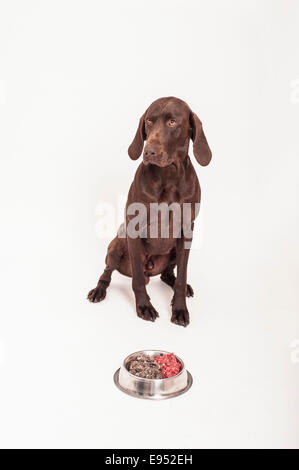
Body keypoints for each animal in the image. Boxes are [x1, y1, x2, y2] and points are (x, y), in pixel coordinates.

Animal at [88, 97, 212, 324]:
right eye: (149, 121)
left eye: (172, 122)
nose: (149, 151)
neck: (169, 176)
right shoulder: (134, 229)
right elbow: (137, 279)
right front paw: (144, 306)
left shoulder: (187, 231)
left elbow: (182, 276)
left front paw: (179, 308)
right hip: (116, 246)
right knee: (107, 273)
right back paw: (99, 290)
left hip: (175, 251)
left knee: (168, 275)